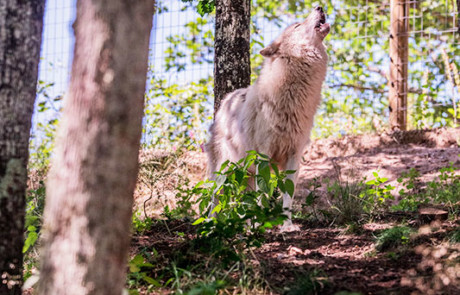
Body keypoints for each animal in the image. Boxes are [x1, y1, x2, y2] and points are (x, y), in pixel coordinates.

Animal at [206, 5, 330, 231]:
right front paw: (262, 224)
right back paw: (212, 224)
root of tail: (226, 100)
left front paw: (286, 225)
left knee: (242, 197)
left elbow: (287, 195)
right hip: (224, 170)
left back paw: (245, 224)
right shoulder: (263, 154)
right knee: (215, 197)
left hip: (244, 171)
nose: (319, 6)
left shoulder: (293, 155)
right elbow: (263, 193)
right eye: (297, 25)